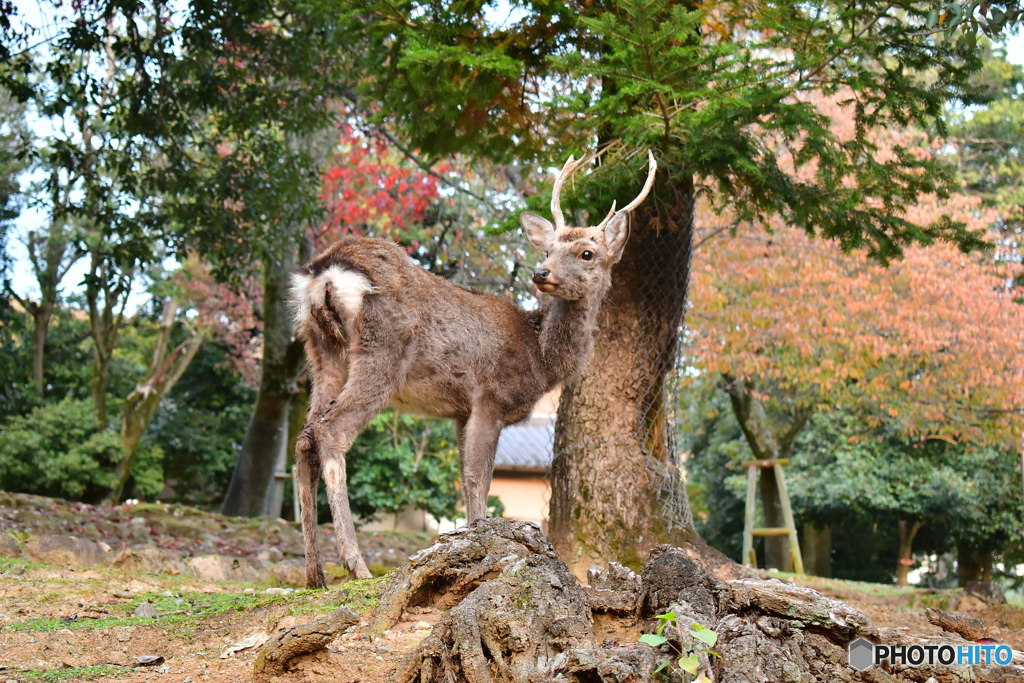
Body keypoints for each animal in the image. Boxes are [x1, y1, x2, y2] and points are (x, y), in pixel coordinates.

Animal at [290, 149, 655, 589]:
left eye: (587, 253)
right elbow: (479, 477)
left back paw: (314, 573)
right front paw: (484, 548)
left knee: (305, 439)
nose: (541, 273)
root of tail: (325, 271)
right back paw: (354, 564)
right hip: (382, 351)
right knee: (332, 430)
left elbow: (465, 479)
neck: (541, 359)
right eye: (548, 250)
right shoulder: (491, 397)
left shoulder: (459, 411)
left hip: (322, 353)